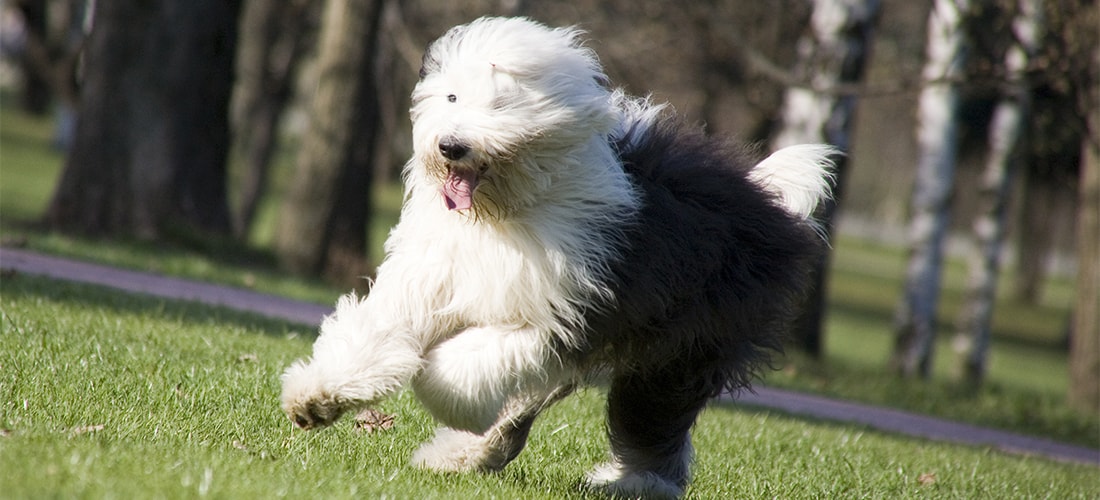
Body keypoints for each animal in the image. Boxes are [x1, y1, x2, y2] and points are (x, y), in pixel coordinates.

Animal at [283, 16, 831, 500]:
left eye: (501, 102)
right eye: (452, 97)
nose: (451, 145)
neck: (501, 214)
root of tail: (766, 202)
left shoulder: (556, 316)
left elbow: (461, 367)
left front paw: (438, 389)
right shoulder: (430, 277)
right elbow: (378, 332)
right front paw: (316, 397)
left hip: (683, 346)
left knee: (652, 416)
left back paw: (637, 483)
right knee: (527, 408)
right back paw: (463, 456)